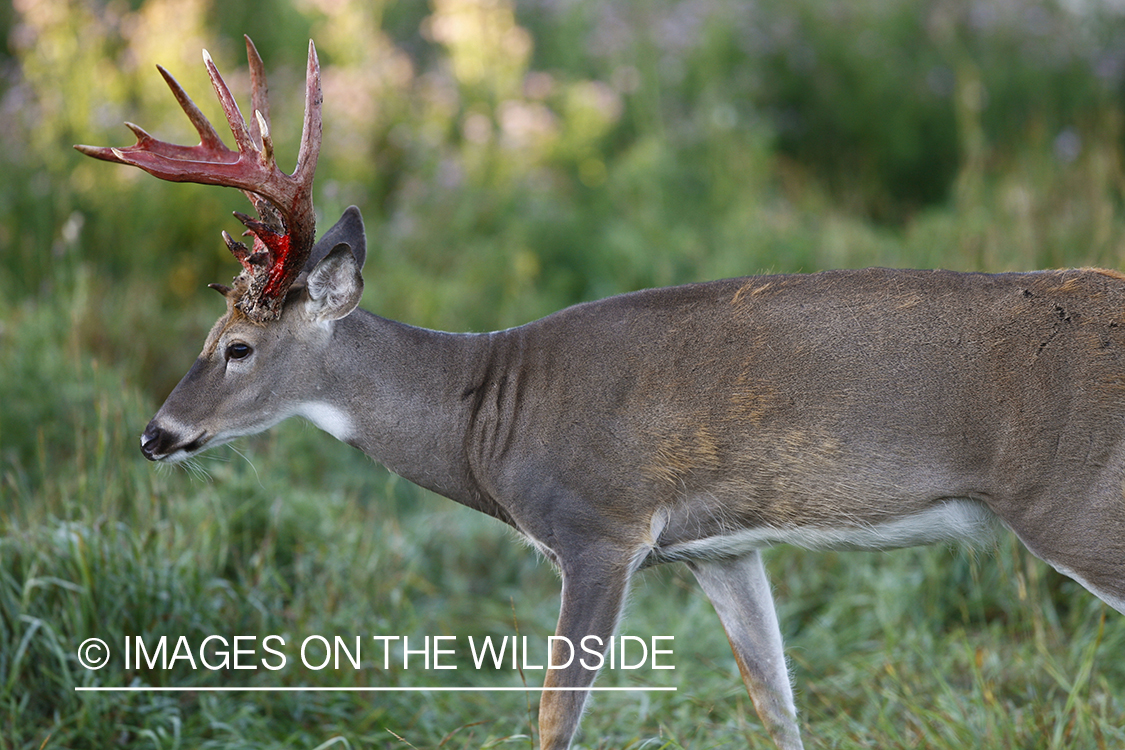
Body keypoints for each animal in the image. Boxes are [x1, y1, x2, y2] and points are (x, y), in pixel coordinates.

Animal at [79, 36, 1125, 750]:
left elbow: (554, 715)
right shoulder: (721, 548)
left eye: (237, 346)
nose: (156, 434)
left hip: (1079, 507)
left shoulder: (598, 528)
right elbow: (775, 701)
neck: (488, 415)